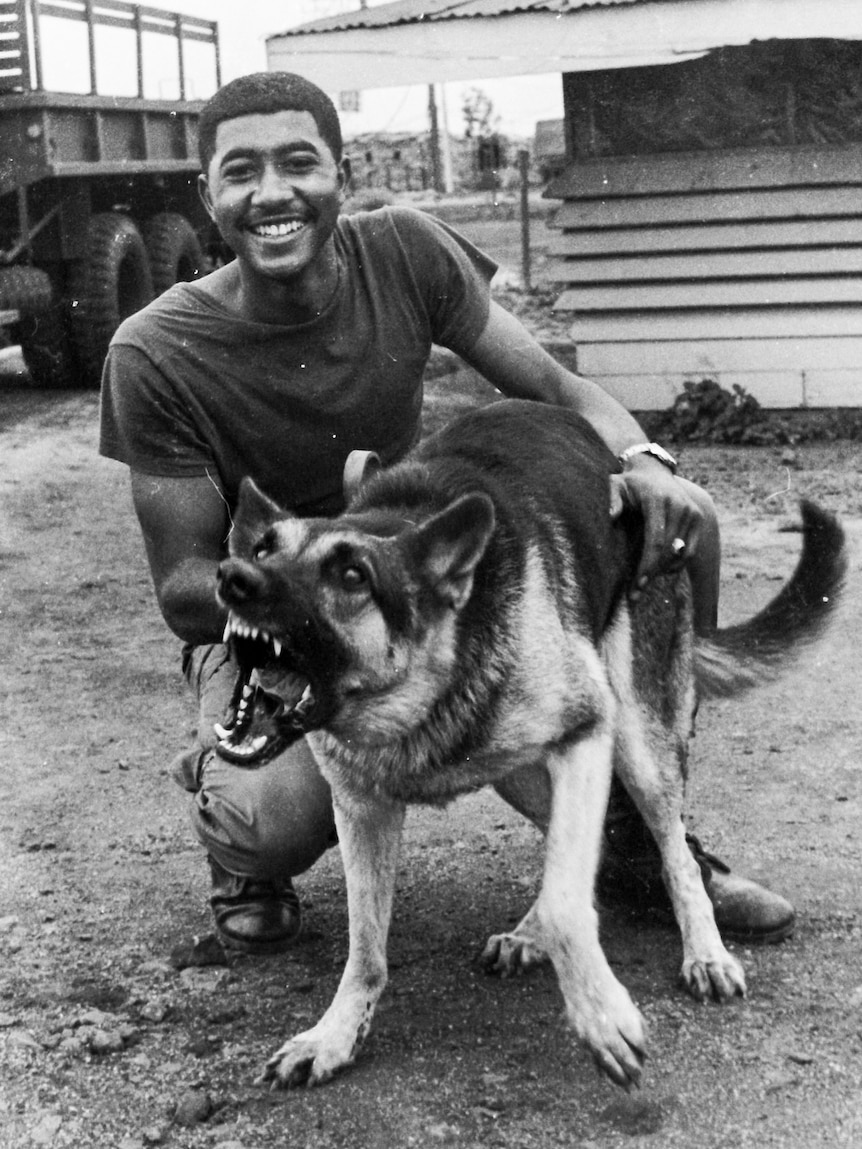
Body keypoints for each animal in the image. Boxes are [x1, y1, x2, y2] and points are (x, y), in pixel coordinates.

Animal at [212, 399, 845, 1089]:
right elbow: (366, 945)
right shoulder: (361, 808)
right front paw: (333, 1036)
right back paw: (531, 933)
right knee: (575, 843)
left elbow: (570, 901)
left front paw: (602, 1016)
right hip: (520, 770)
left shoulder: (587, 732)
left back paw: (704, 952)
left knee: (671, 853)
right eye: (264, 547)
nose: (234, 576)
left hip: (636, 747)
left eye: (351, 575)